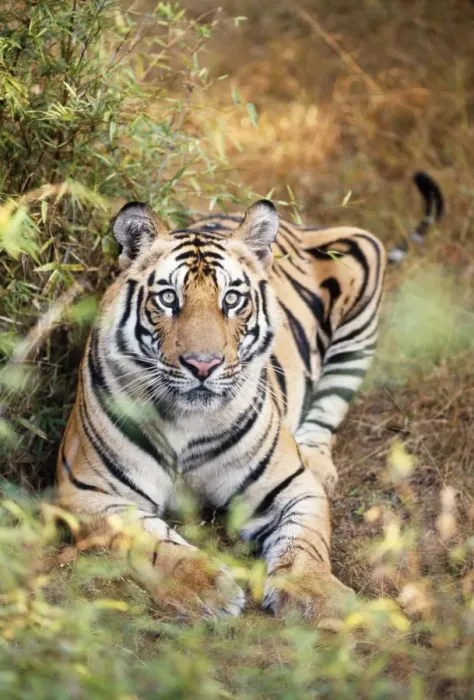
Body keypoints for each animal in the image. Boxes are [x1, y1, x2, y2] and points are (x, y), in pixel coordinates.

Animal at [56, 173, 441, 622]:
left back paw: (319, 461)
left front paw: (319, 597)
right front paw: (206, 588)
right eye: (168, 298)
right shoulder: (89, 492)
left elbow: (306, 543)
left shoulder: (293, 487)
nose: (202, 365)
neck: (185, 421)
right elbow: (155, 544)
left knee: (331, 402)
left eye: (232, 299)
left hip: (362, 282)